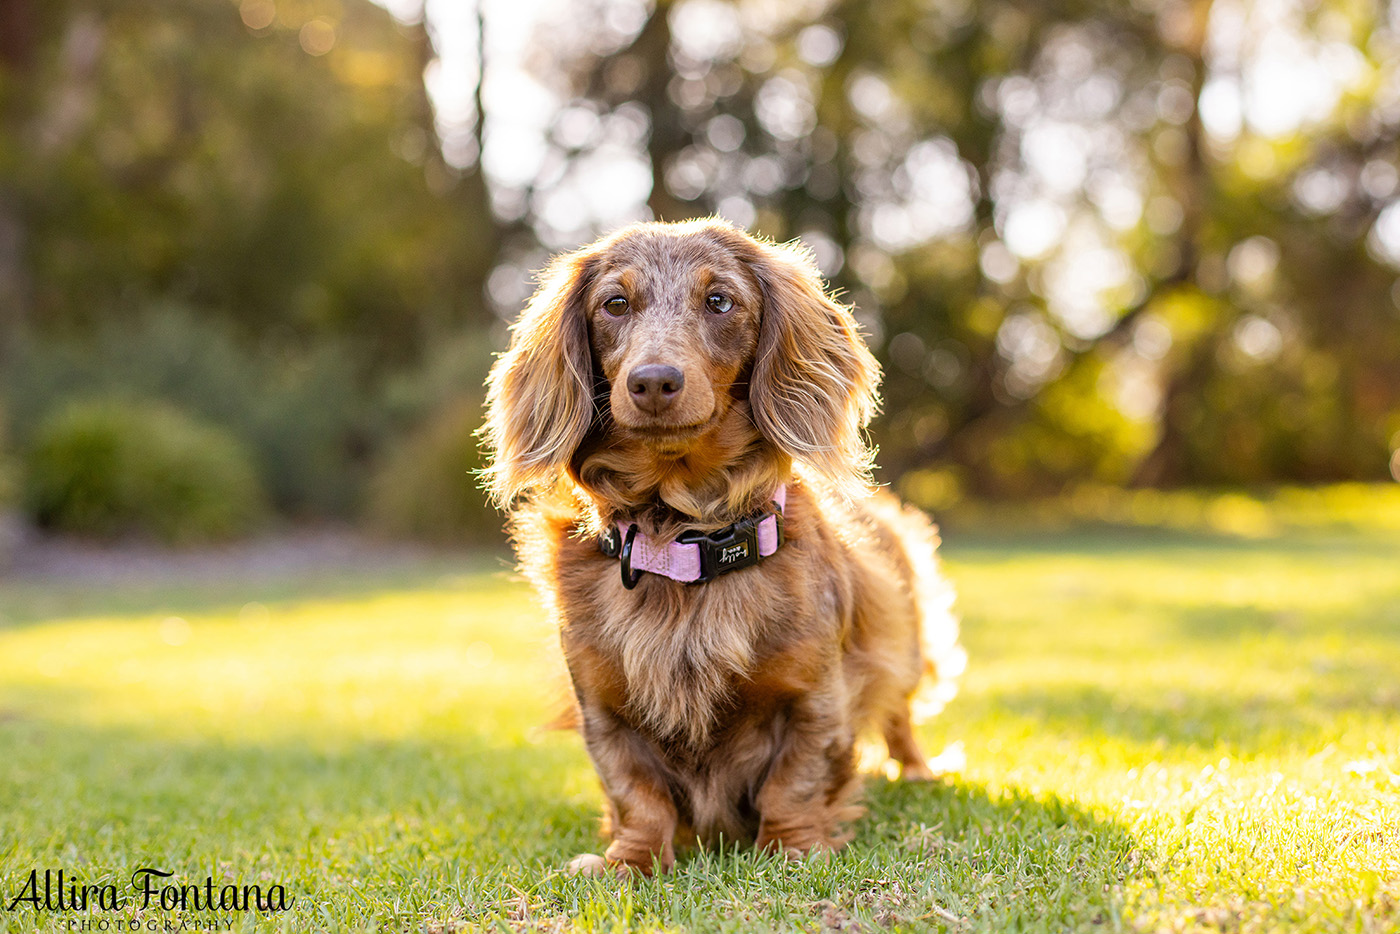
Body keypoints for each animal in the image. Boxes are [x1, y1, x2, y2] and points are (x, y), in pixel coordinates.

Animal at [484, 217, 963, 879]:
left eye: (719, 301)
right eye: (614, 303)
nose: (653, 382)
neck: (682, 540)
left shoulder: (815, 696)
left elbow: (796, 779)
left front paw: (792, 848)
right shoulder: (603, 708)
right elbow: (636, 794)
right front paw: (629, 862)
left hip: (905, 647)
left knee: (901, 716)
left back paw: (917, 772)